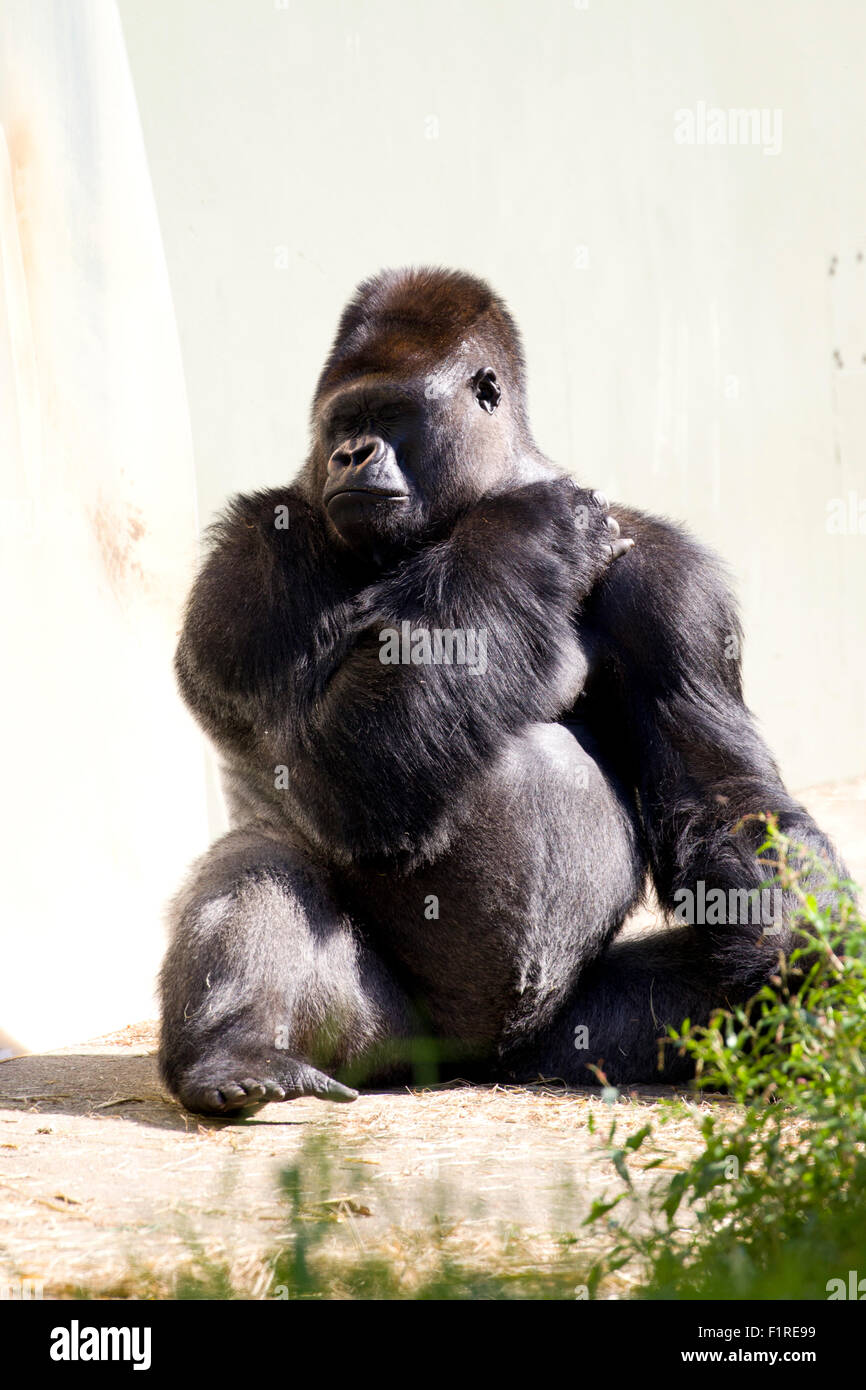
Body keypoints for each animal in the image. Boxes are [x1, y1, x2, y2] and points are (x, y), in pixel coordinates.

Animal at [159, 265, 845, 1112]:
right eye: (342, 422)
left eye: (389, 415)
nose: (350, 454)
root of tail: (479, 1062)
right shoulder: (254, 556)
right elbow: (330, 770)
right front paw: (528, 532)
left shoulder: (673, 581)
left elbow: (723, 790)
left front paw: (807, 961)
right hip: (386, 1043)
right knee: (260, 855)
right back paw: (232, 1051)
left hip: (573, 1038)